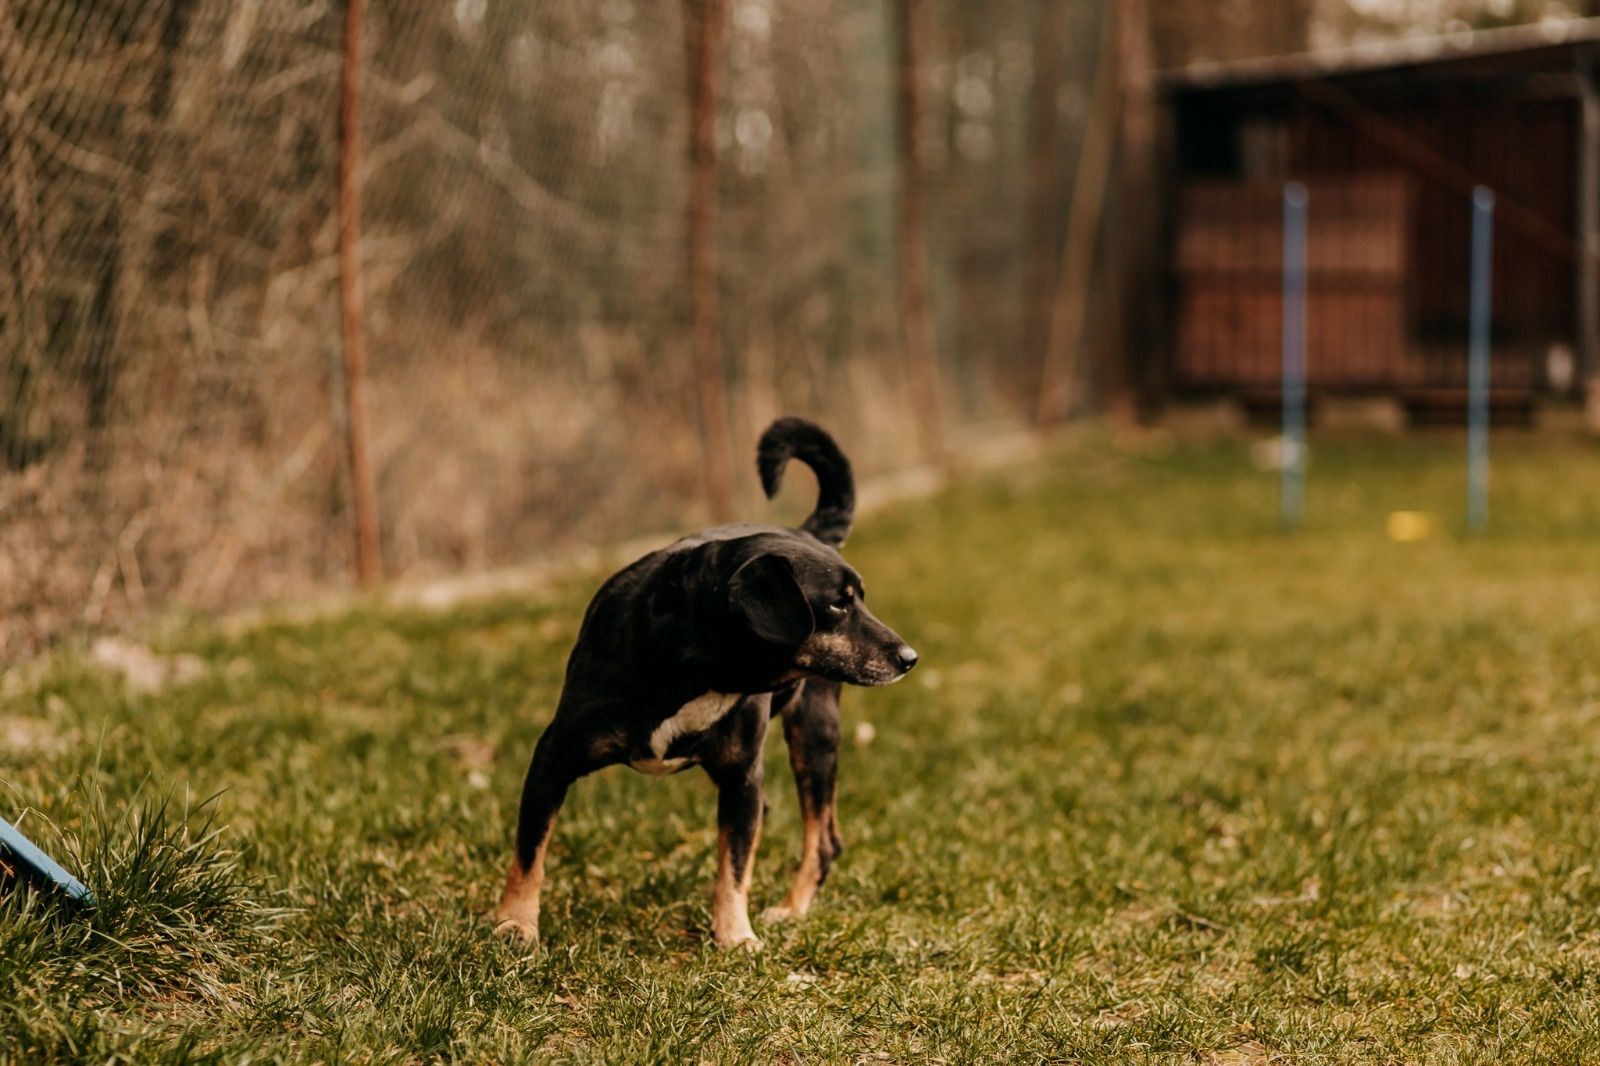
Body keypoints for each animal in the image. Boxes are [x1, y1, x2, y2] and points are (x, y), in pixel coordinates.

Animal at [489, 416, 915, 947]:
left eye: (860, 598)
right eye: (839, 603)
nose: (910, 658)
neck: (698, 664)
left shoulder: (741, 776)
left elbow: (733, 866)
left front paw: (734, 936)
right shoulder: (552, 757)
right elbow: (530, 852)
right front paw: (516, 923)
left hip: (813, 729)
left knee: (821, 839)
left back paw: (790, 910)